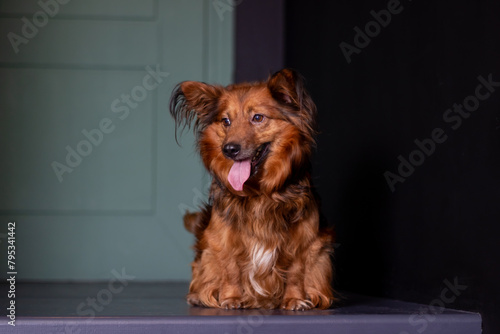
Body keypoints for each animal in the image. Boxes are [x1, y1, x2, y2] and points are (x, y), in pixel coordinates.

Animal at [170, 68, 334, 310]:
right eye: (226, 121)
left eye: (257, 118)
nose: (229, 149)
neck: (260, 193)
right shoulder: (221, 237)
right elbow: (230, 267)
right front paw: (231, 298)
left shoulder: (305, 239)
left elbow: (296, 270)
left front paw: (294, 299)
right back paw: (198, 296)